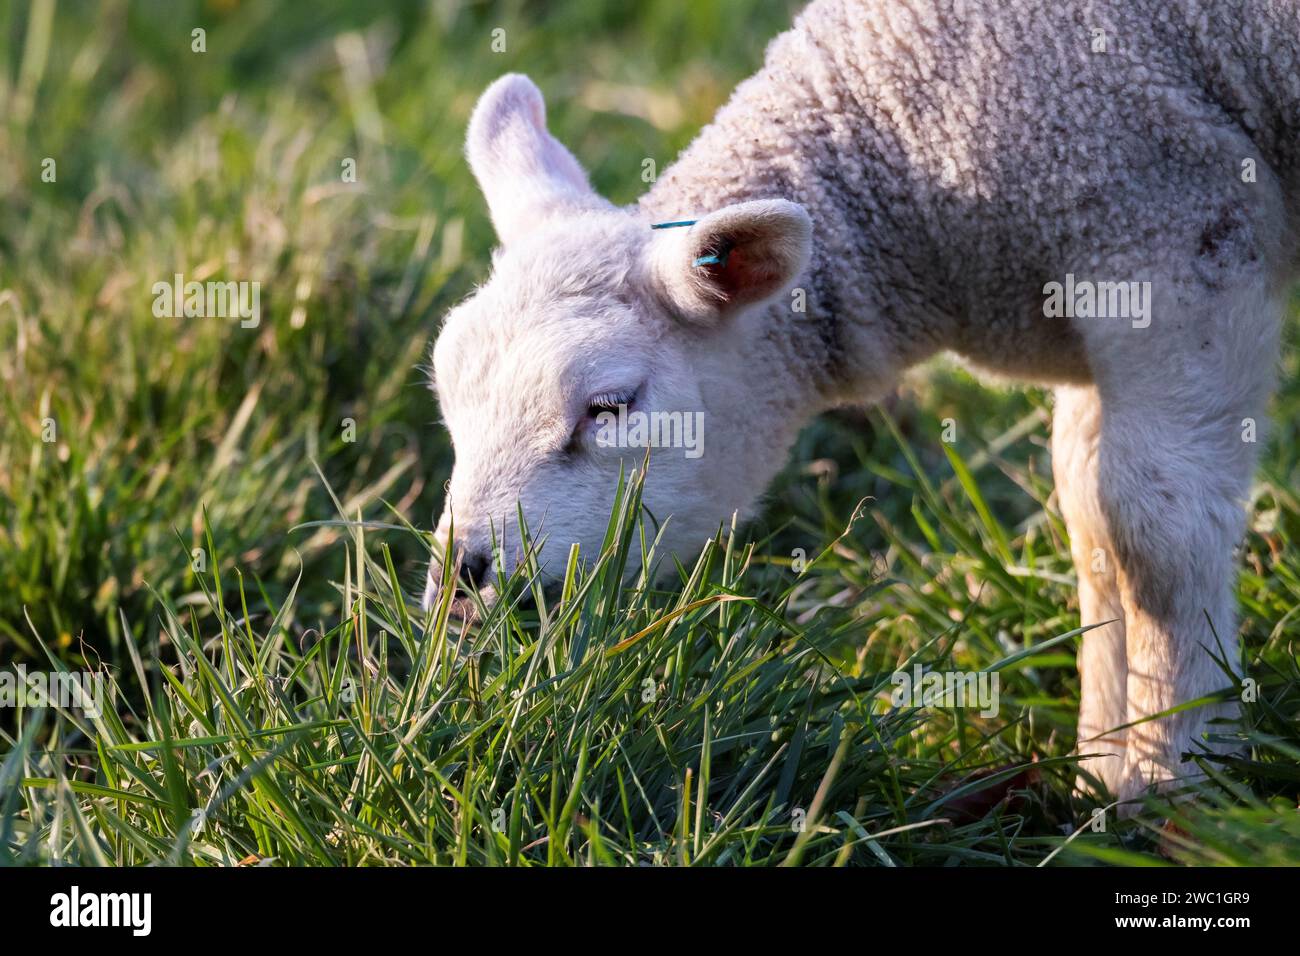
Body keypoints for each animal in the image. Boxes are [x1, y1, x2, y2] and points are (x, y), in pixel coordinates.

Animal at [426, 0, 1300, 806]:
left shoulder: (1173, 239)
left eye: (609, 405)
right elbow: (1090, 520)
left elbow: (1154, 529)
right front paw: (1101, 759)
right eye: (448, 399)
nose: (463, 585)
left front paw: (1172, 777)